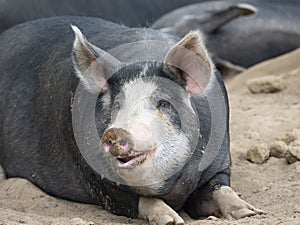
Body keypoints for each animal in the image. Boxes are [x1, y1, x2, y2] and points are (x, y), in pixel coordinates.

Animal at [0, 16, 262, 224]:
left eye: (163, 103)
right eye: (117, 105)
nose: (115, 132)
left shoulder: (219, 164)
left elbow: (222, 190)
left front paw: (250, 212)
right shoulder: (99, 181)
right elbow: (141, 201)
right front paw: (172, 220)